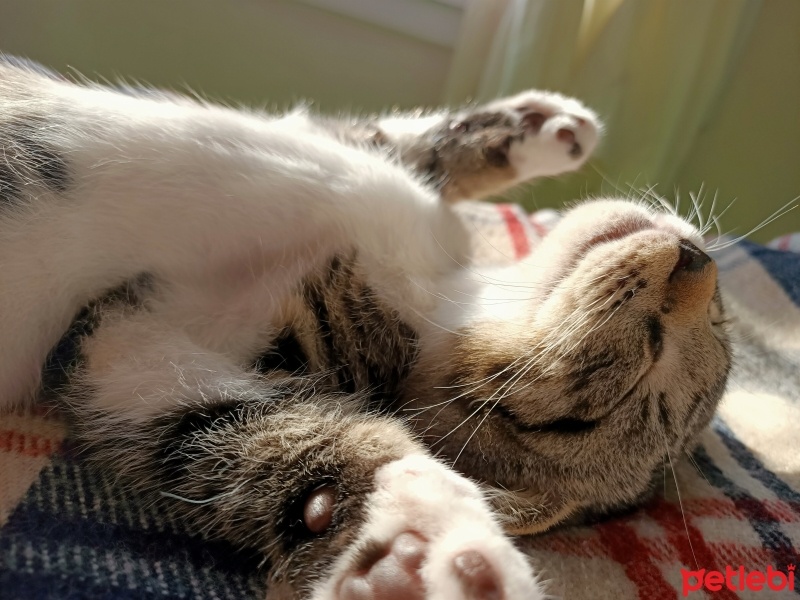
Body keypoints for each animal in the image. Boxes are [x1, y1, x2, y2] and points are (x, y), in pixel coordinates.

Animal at [0, 57, 732, 600]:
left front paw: (415, 549)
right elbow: (383, 146)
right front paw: (543, 125)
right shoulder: (124, 331)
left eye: (638, 370)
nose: (698, 262)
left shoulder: (121, 349)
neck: (435, 290)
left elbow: (239, 429)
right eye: (723, 319)